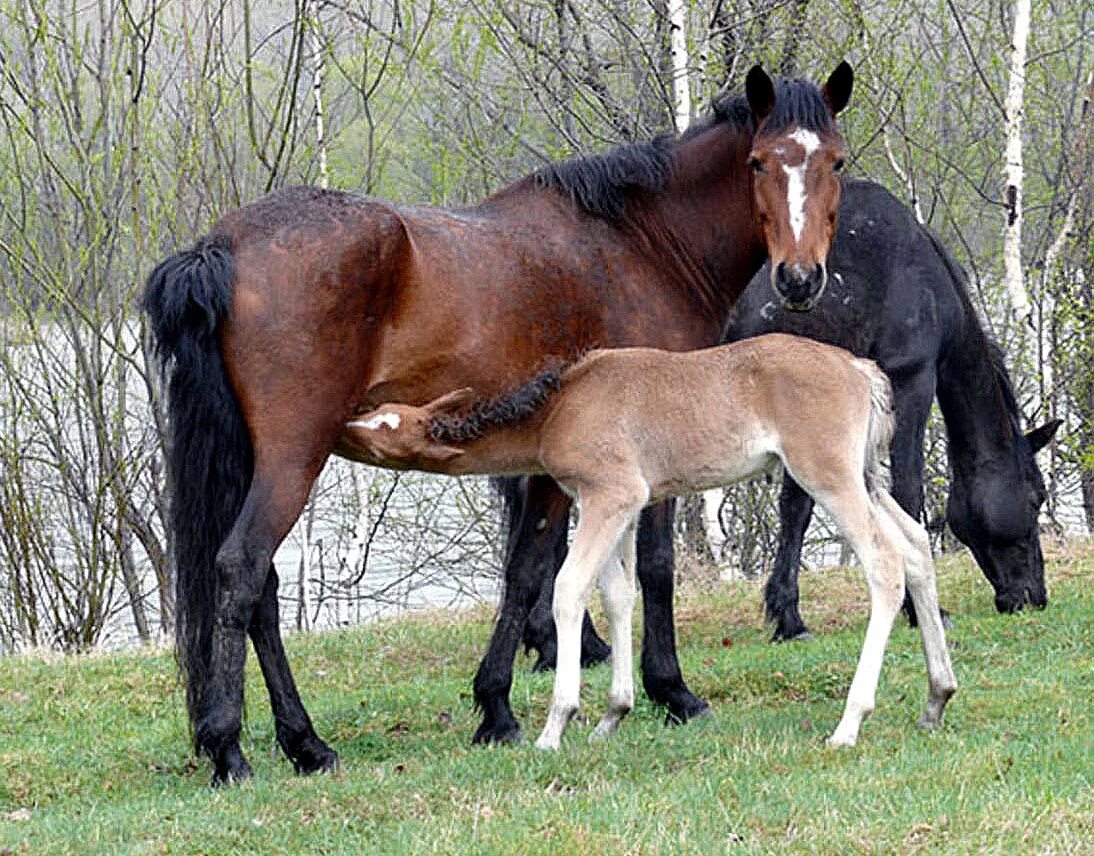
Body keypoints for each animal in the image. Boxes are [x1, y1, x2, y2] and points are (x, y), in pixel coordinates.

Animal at [143, 62, 853, 783]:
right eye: (759, 162)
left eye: (836, 161)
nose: (799, 279)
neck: (641, 244)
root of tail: (221, 246)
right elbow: (650, 568)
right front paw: (672, 691)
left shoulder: (548, 463)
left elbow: (526, 571)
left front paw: (496, 708)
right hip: (294, 456)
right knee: (242, 570)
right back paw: (231, 749)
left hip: (254, 459)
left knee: (260, 586)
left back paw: (304, 743)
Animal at [341, 334, 958, 753]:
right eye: (381, 415)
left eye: (384, 433)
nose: (344, 423)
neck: (559, 405)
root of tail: (860, 368)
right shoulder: (624, 506)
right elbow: (618, 596)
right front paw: (613, 714)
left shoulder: (610, 494)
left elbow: (569, 589)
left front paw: (556, 724)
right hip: (866, 475)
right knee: (915, 547)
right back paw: (937, 696)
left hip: (827, 473)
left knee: (884, 562)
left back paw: (850, 723)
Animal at [726, 177, 1058, 639]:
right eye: (1035, 497)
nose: (1034, 596)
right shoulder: (911, 379)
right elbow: (907, 489)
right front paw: (920, 609)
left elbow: (797, 507)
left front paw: (788, 616)